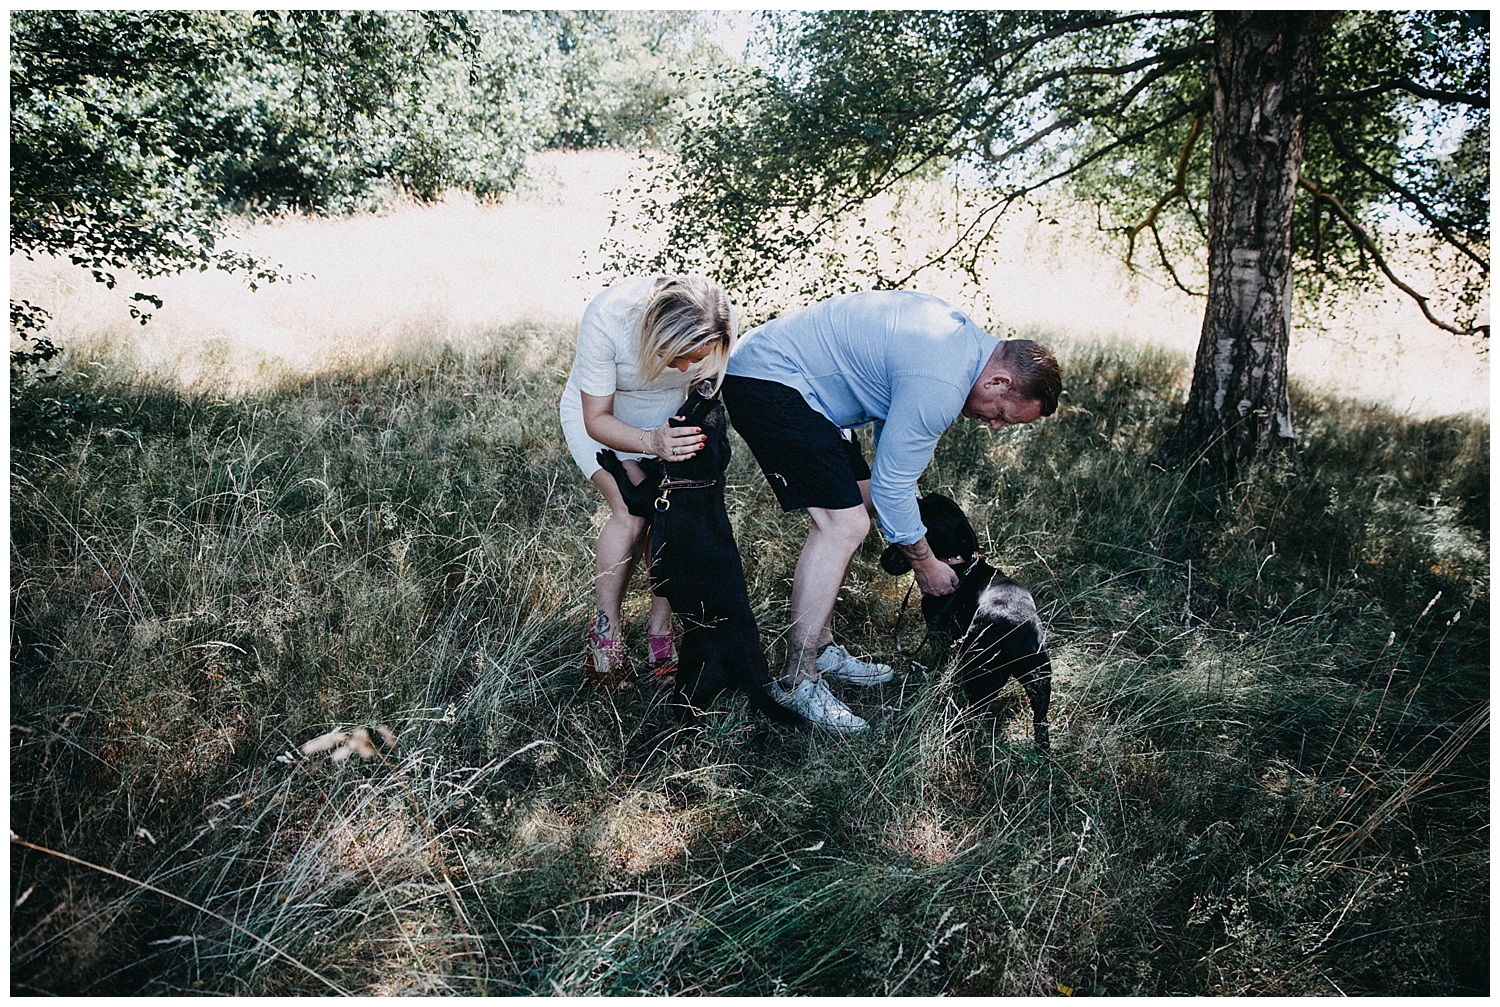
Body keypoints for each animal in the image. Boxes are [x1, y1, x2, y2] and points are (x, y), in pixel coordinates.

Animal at [597, 382, 804, 729]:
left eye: (702, 416)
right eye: (720, 424)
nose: (712, 392)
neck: (696, 478)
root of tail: (748, 673)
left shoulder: (640, 500)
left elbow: (625, 477)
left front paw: (611, 458)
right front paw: (648, 460)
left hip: (692, 681)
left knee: (686, 714)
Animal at [876, 495, 1056, 747]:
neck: (961, 564)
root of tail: (1017, 629)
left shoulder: (940, 635)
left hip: (979, 676)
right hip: (1039, 681)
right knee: (1041, 725)